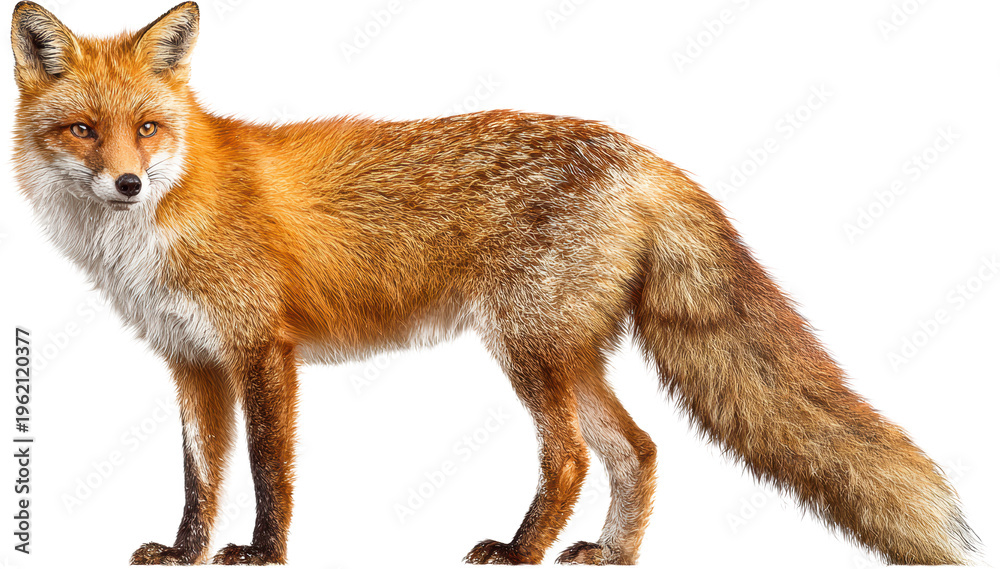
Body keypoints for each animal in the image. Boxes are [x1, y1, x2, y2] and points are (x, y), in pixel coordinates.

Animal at [9, 0, 984, 566]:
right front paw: (184, 550)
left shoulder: (261, 349)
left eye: (147, 128)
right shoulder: (192, 362)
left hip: (528, 349)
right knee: (640, 448)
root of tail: (642, 153)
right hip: (567, 353)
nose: (127, 183)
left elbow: (265, 468)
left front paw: (261, 551)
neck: (156, 226)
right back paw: (607, 554)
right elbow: (197, 478)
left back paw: (518, 551)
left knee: (575, 456)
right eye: (84, 130)